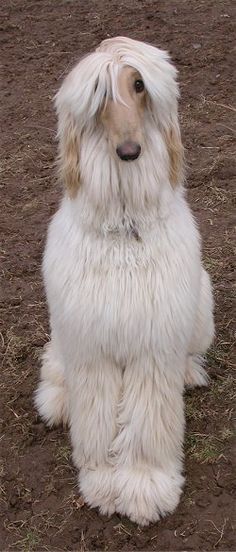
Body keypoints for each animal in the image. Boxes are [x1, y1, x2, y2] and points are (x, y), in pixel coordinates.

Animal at [35, 35, 214, 528]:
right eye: (99, 93)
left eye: (138, 85)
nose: (130, 151)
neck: (124, 226)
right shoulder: (90, 342)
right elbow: (95, 418)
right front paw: (101, 481)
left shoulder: (152, 343)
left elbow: (149, 420)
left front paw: (143, 485)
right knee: (56, 364)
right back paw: (57, 396)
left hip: (200, 307)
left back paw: (188, 373)